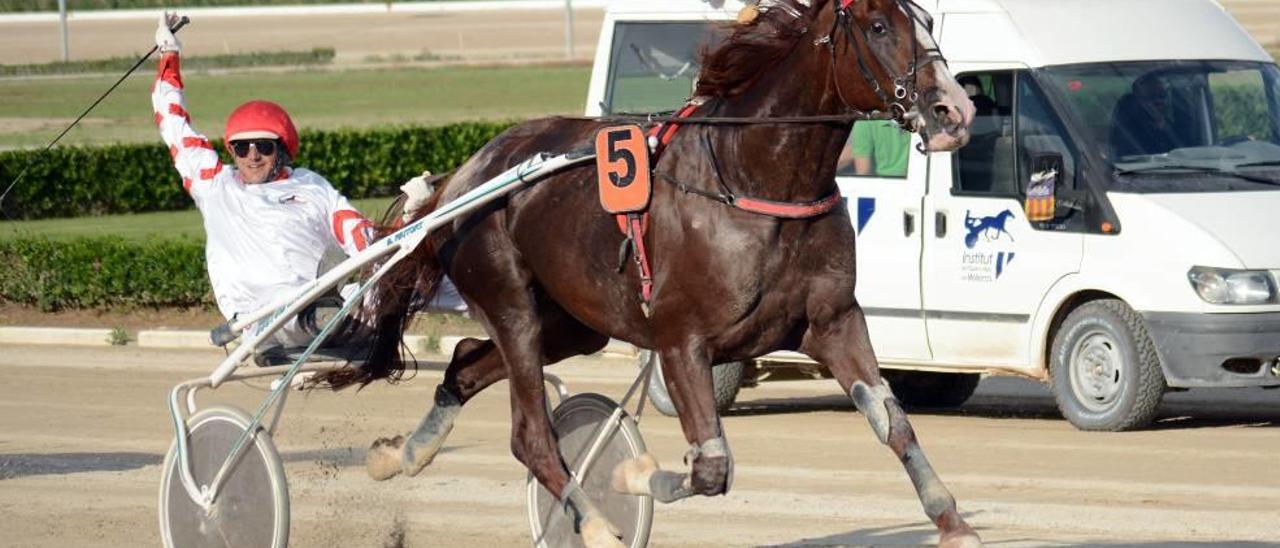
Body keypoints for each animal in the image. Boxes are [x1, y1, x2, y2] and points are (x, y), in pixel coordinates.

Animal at [335, 0, 972, 545]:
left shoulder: (834, 321)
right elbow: (712, 466)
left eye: (924, 19)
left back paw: (399, 455)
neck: (754, 177)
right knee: (531, 437)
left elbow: (892, 421)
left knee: (466, 362)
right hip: (510, 303)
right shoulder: (679, 339)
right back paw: (593, 525)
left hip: (570, 324)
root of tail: (464, 175)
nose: (955, 110)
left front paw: (952, 521)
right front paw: (629, 476)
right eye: (878, 26)